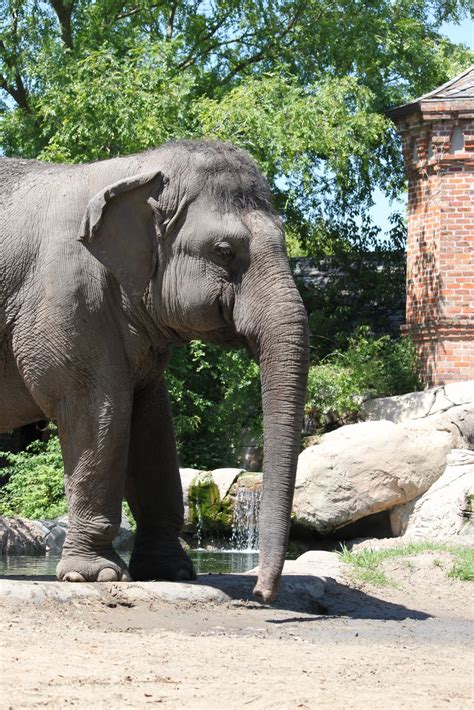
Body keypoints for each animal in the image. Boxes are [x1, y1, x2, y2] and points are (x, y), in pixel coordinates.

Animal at [0, 142, 310, 604]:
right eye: (223, 251)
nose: (261, 593)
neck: (138, 169)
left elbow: (151, 422)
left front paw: (172, 571)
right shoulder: (66, 301)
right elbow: (98, 410)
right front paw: (96, 576)